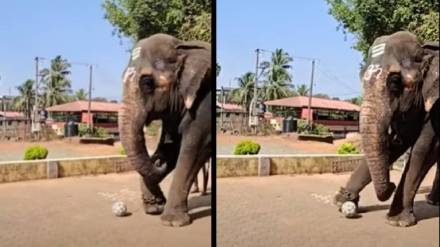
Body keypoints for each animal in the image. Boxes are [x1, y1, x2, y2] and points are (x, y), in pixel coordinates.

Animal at [118, 33, 211, 227]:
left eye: (147, 83)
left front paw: (172, 222)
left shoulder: (205, 101)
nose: (157, 160)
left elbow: (195, 147)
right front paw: (154, 208)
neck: (183, 46)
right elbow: (172, 148)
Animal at [336, 31, 438, 228]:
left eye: (395, 82)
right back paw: (433, 201)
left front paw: (398, 221)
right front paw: (341, 201)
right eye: (361, 77)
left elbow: (423, 149)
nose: (391, 184)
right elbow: (401, 143)